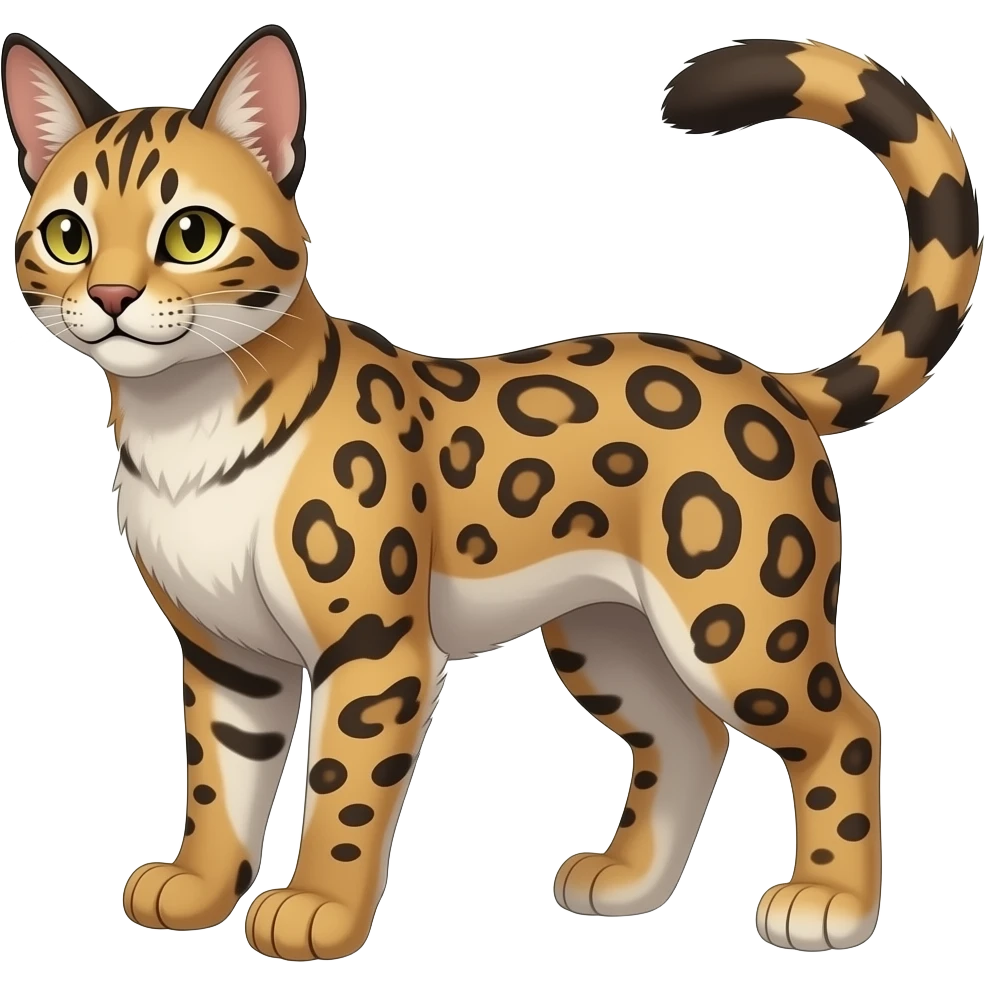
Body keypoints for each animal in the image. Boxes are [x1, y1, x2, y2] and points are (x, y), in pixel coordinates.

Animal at [3, 28, 980, 960]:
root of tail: (768, 379)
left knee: (847, 728)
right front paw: (201, 889)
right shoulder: (225, 649)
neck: (187, 429)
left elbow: (343, 794)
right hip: (607, 634)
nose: (111, 293)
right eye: (68, 236)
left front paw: (317, 910)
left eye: (191, 233)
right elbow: (216, 780)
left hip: (735, 625)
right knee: (688, 736)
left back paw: (829, 903)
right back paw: (629, 884)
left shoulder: (374, 649)